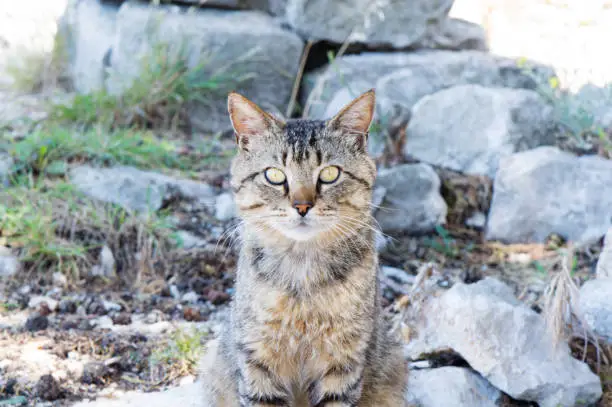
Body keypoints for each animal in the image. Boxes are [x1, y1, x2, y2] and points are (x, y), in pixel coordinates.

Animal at [198, 90, 406, 407]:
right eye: (274, 175)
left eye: (330, 173)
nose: (302, 206)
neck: (302, 269)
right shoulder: (258, 358)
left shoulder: (343, 360)